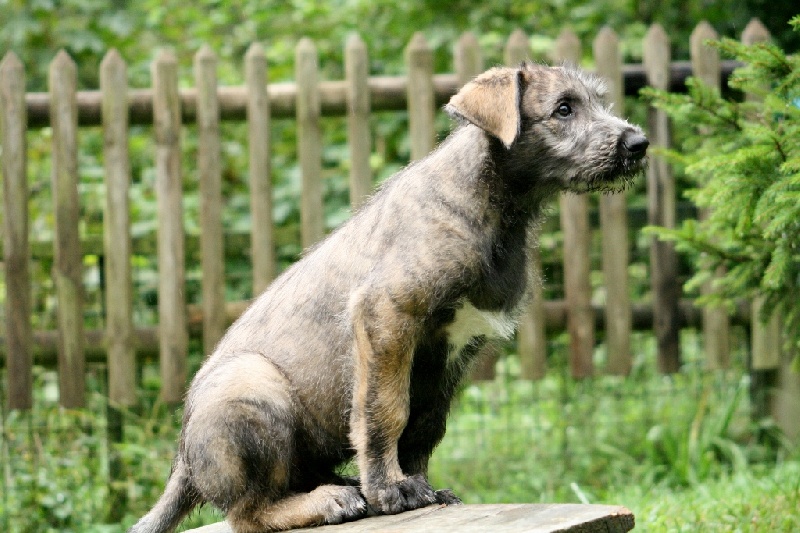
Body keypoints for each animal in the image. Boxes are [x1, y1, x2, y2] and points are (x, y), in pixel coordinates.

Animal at [129, 61, 648, 532]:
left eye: (599, 102)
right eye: (563, 108)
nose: (638, 144)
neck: (493, 205)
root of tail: (183, 459)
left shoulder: (455, 350)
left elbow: (425, 425)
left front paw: (419, 487)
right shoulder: (387, 315)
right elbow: (386, 412)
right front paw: (389, 490)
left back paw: (343, 486)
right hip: (252, 385)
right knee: (247, 513)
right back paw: (330, 500)